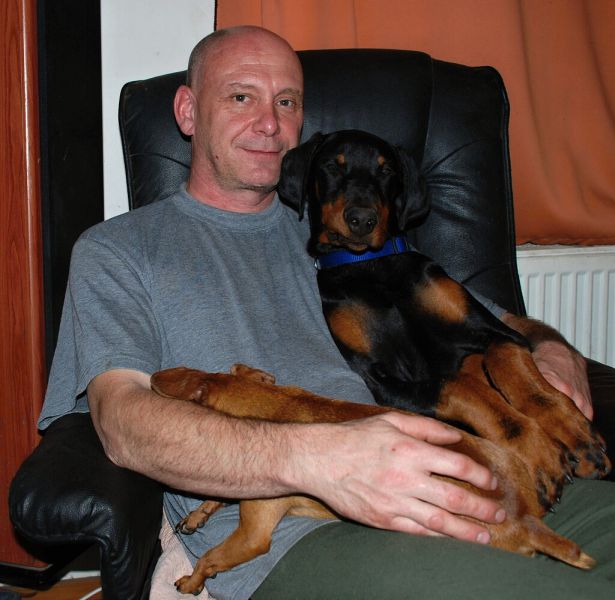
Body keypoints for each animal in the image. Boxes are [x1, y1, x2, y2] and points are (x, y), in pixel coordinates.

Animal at [151, 363, 596, 594]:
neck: (275, 404)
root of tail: (521, 517)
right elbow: (217, 498)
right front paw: (197, 515)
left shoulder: (253, 533)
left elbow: (211, 558)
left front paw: (191, 581)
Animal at [277, 129, 610, 511]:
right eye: (333, 165)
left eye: (386, 170)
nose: (361, 220)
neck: (371, 268)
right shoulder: (382, 381)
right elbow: (463, 387)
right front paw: (538, 451)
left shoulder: (497, 332)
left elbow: (505, 360)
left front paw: (573, 432)